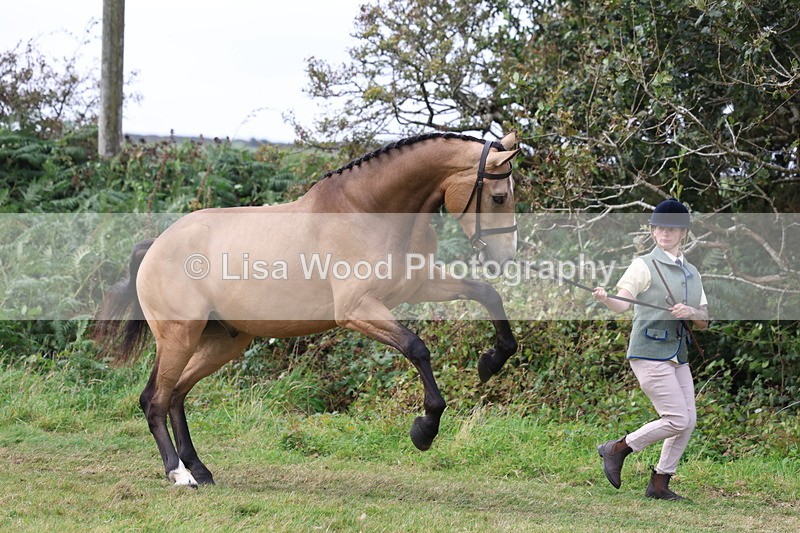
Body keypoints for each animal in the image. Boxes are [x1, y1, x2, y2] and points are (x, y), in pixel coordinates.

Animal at [95, 131, 521, 487]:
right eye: (499, 197)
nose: (505, 258)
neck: (371, 211)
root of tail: (155, 245)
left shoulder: (419, 285)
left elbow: (486, 294)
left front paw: (493, 360)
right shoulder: (358, 309)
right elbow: (417, 348)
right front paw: (425, 429)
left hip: (223, 342)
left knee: (177, 394)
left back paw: (200, 469)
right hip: (178, 336)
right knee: (154, 399)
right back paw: (179, 474)